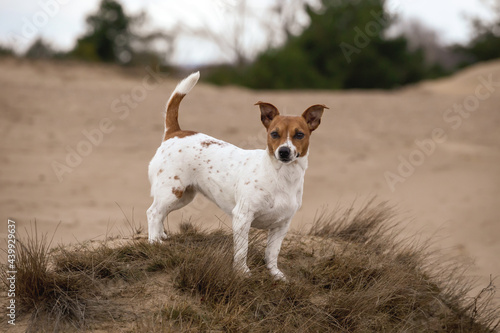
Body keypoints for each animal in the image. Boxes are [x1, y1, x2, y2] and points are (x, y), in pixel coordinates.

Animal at [146, 72, 326, 280]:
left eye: (299, 135)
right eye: (274, 134)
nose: (284, 152)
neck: (281, 176)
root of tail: (175, 132)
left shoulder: (281, 225)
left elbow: (272, 253)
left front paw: (275, 274)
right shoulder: (242, 217)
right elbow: (242, 251)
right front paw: (242, 272)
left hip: (183, 196)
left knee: (161, 213)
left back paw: (160, 236)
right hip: (171, 191)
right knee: (153, 213)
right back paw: (153, 241)